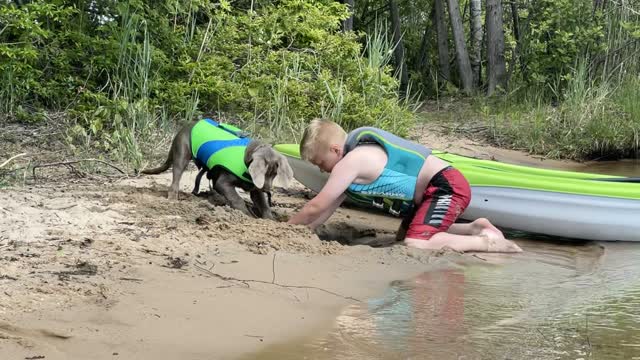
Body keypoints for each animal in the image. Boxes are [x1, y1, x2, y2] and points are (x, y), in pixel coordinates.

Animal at [141, 119, 294, 219]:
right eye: (265, 172)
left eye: (274, 174)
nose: (267, 189)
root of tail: (187, 125)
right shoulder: (223, 183)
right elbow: (237, 199)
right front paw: (247, 214)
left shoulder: (255, 189)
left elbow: (263, 204)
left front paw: (269, 219)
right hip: (182, 154)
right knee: (176, 178)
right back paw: (173, 198)